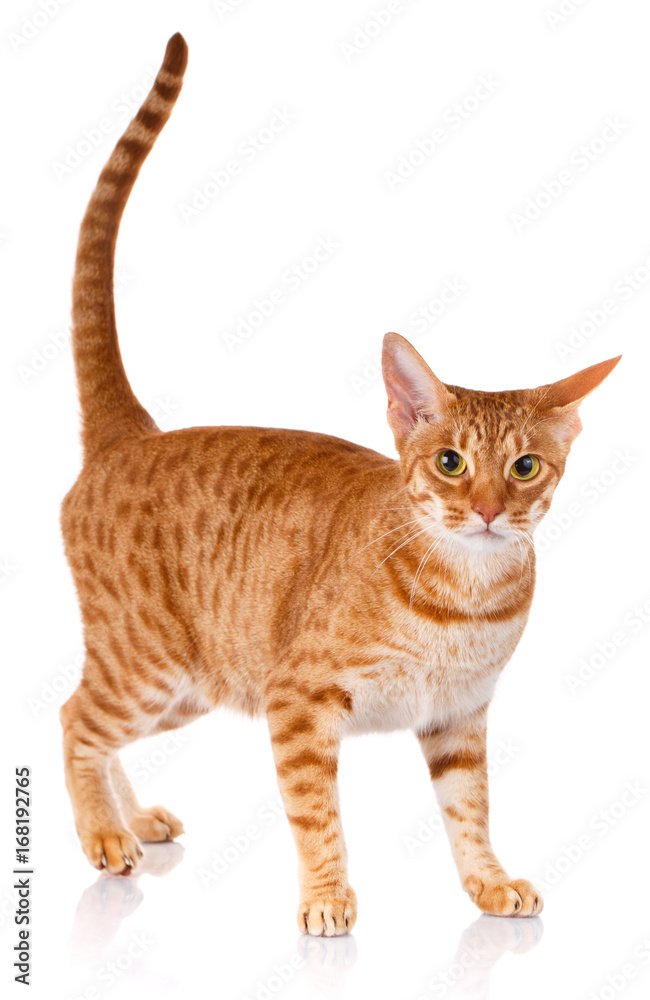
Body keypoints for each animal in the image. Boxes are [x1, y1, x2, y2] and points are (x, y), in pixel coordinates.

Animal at [59, 33, 616, 936]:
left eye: (525, 467)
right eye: (450, 462)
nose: (488, 509)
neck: (466, 596)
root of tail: (130, 432)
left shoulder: (460, 718)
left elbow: (471, 813)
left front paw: (489, 882)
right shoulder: (298, 700)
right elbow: (317, 816)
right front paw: (325, 898)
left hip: (191, 680)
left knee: (95, 728)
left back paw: (131, 818)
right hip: (148, 661)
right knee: (75, 717)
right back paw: (104, 834)